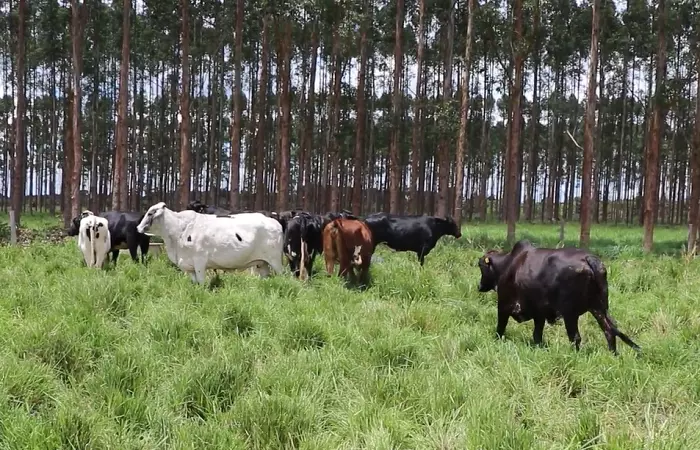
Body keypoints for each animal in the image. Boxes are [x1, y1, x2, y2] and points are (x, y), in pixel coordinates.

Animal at [135, 202, 284, 284]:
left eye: (150, 213)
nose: (138, 228)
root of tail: (274, 221)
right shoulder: (189, 266)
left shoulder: (200, 261)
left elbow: (201, 283)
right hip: (262, 263)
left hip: (276, 261)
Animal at [478, 239, 644, 356]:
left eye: (480, 266)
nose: (479, 286)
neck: (507, 265)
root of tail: (589, 258)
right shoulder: (540, 313)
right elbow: (537, 335)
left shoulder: (504, 305)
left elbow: (500, 329)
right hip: (598, 307)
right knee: (609, 331)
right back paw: (613, 355)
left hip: (570, 313)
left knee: (576, 337)